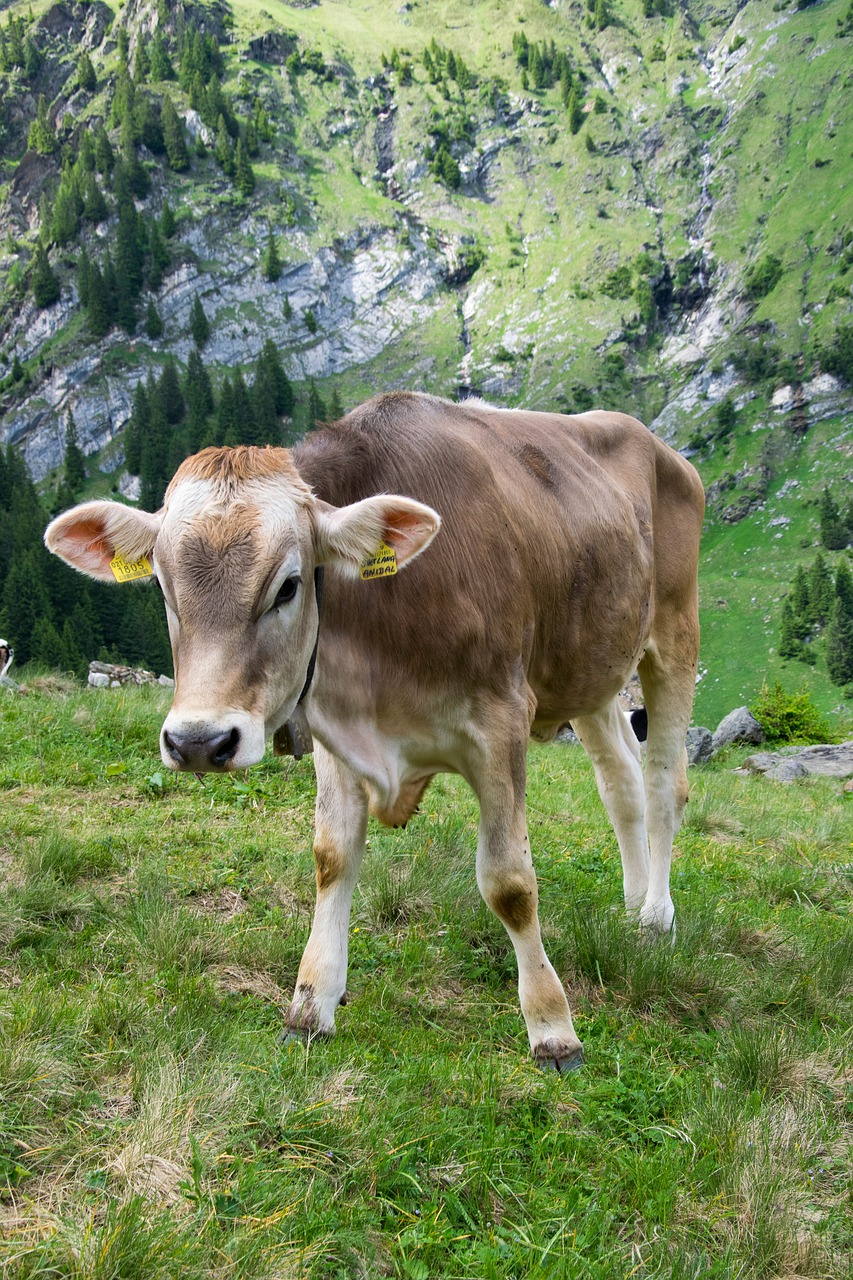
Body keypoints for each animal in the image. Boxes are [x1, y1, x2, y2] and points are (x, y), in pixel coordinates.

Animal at [43, 391, 701, 1070]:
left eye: (289, 585)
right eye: (164, 588)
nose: (199, 742)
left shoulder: (501, 721)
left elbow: (511, 883)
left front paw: (552, 1027)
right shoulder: (333, 728)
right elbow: (333, 859)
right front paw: (311, 1005)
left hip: (675, 634)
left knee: (663, 786)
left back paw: (655, 917)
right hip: (591, 672)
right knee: (621, 784)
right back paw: (632, 900)